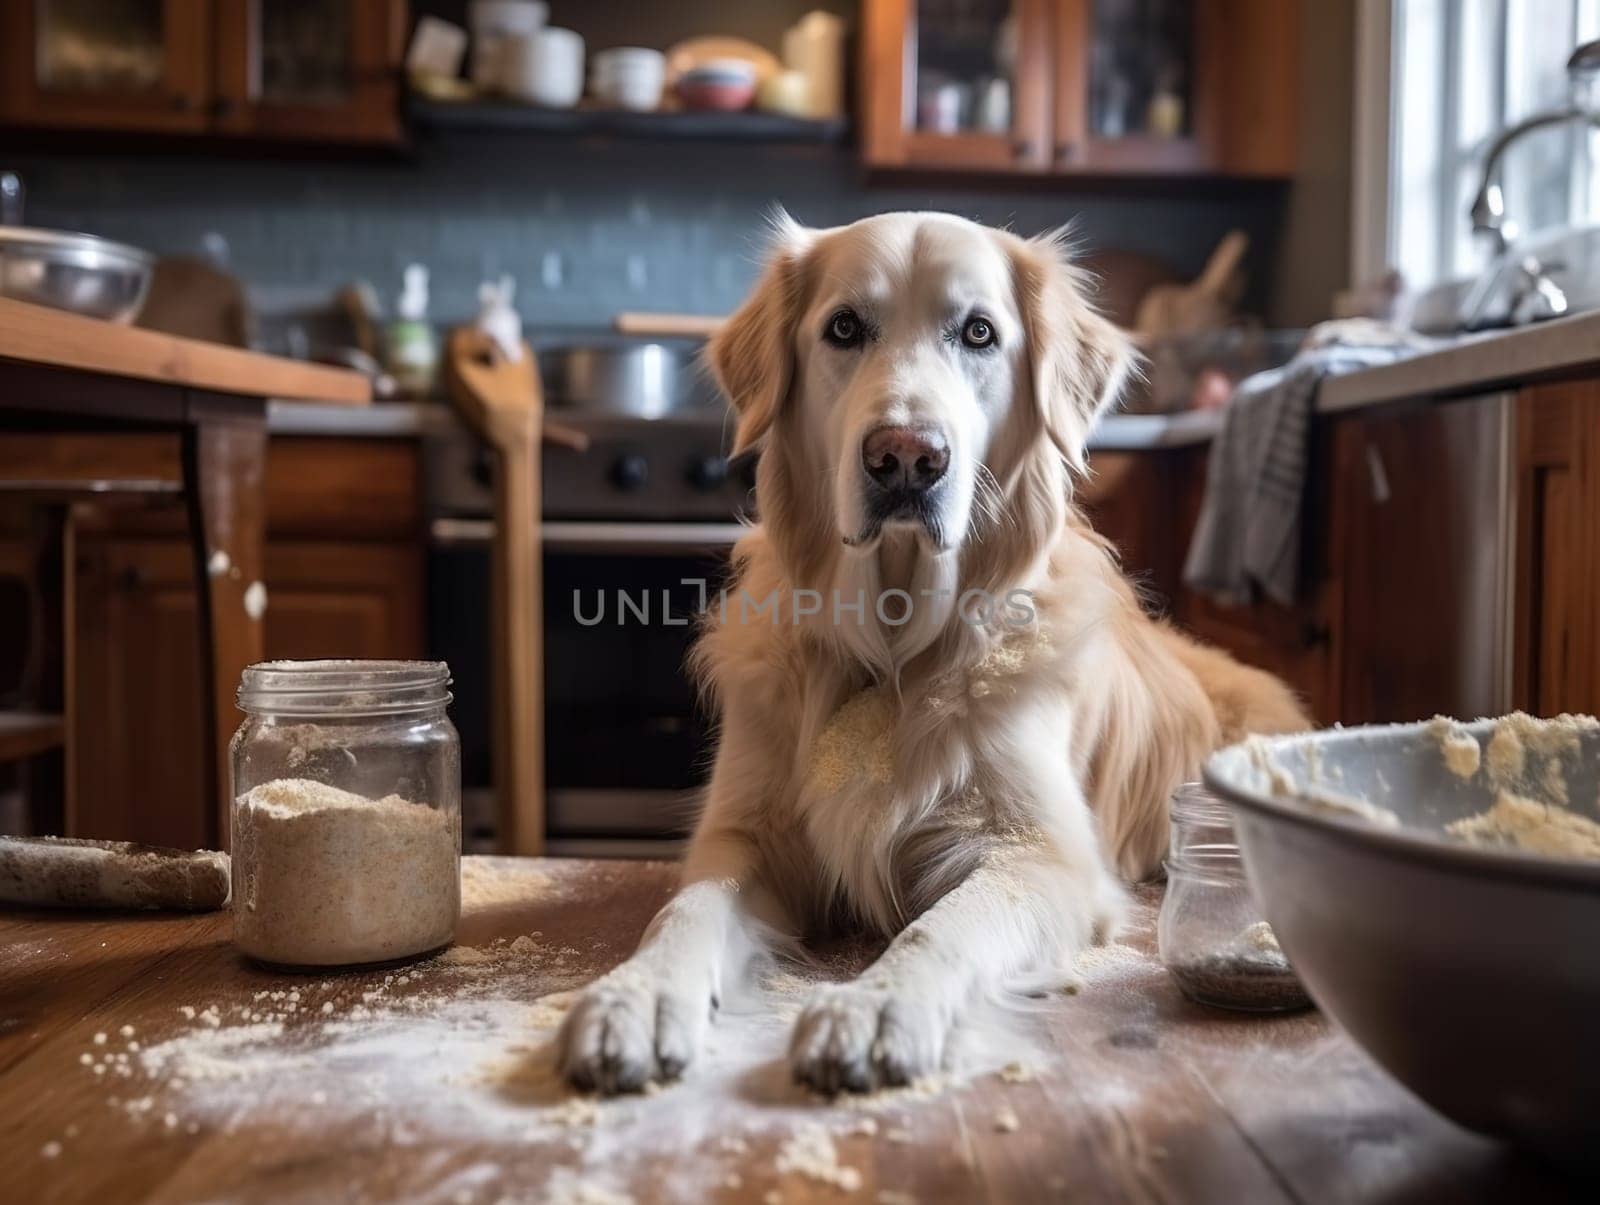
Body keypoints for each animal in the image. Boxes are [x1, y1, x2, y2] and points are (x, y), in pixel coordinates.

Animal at [556, 211, 1305, 1094]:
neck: (893, 646)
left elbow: (939, 926)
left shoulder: (1045, 856)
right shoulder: (744, 832)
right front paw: (634, 995)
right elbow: (685, 908)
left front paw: (876, 1006)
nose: (906, 456)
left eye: (978, 332)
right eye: (845, 328)